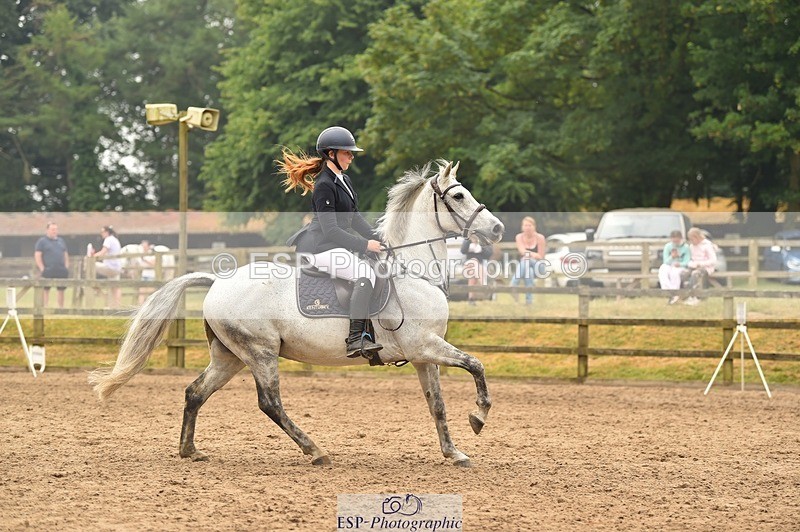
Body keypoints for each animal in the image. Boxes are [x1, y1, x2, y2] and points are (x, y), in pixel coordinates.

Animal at [89, 160, 505, 467]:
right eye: (458, 195)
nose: (498, 228)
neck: (413, 271)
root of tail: (217, 282)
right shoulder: (425, 345)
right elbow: (476, 365)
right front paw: (479, 417)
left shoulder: (422, 355)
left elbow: (437, 404)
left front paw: (454, 452)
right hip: (260, 351)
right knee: (270, 403)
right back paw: (315, 451)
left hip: (229, 357)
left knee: (195, 392)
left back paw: (189, 450)